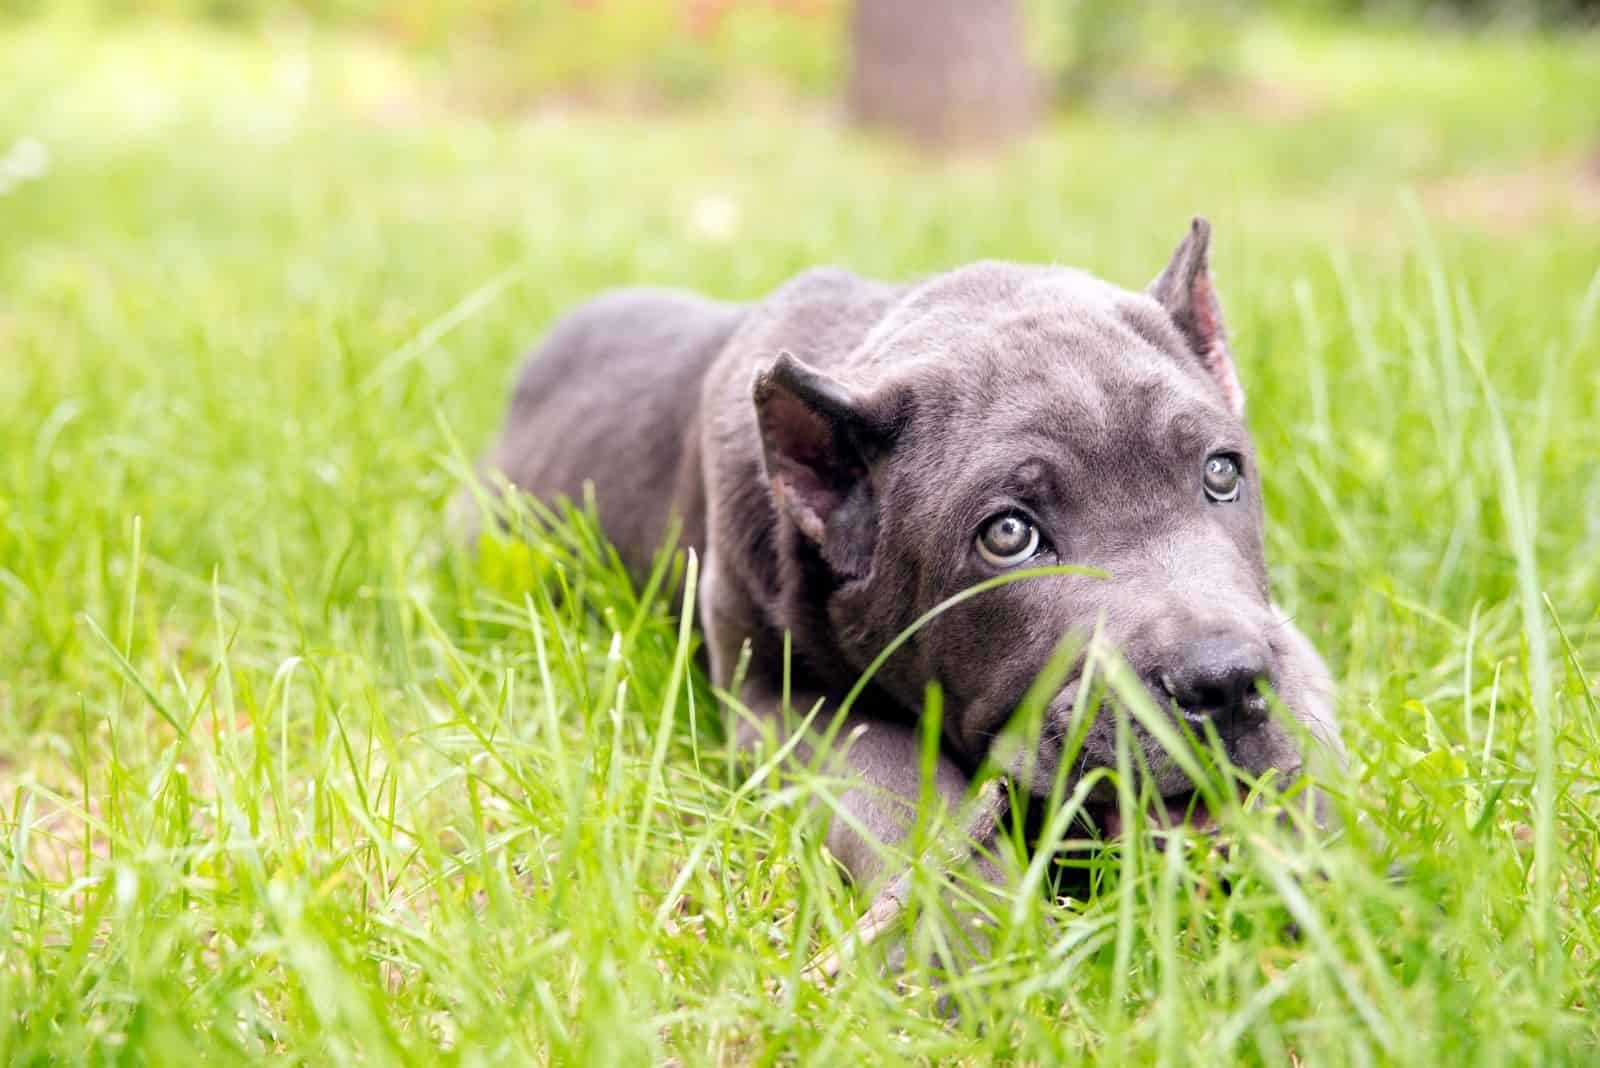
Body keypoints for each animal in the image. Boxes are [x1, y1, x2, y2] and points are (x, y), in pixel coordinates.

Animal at [464, 223, 1337, 895]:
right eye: (1008, 536)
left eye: (1221, 473)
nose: (1222, 681)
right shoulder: (779, 700)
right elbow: (892, 787)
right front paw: (964, 941)